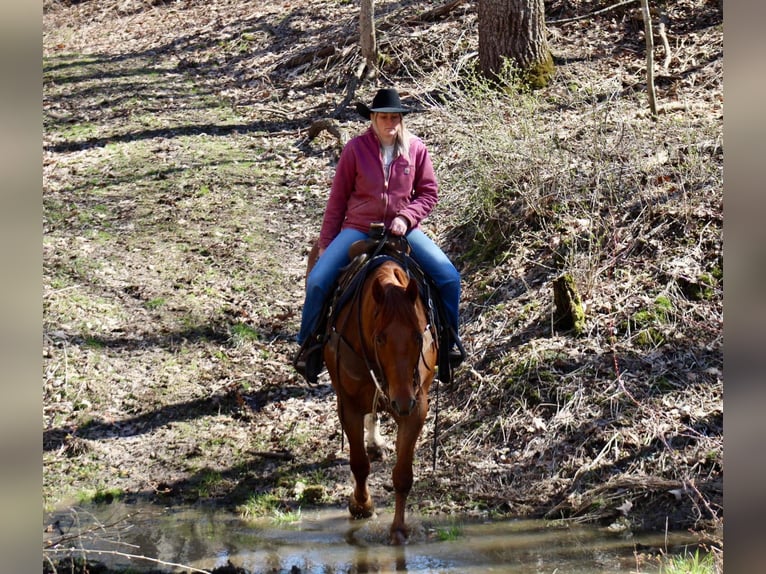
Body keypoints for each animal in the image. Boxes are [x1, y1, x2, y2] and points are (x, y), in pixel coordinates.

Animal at [310, 236, 438, 548]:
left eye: (418, 335)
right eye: (380, 338)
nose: (401, 401)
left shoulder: (417, 406)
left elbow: (403, 475)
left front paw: (399, 530)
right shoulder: (348, 404)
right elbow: (359, 464)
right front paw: (361, 506)